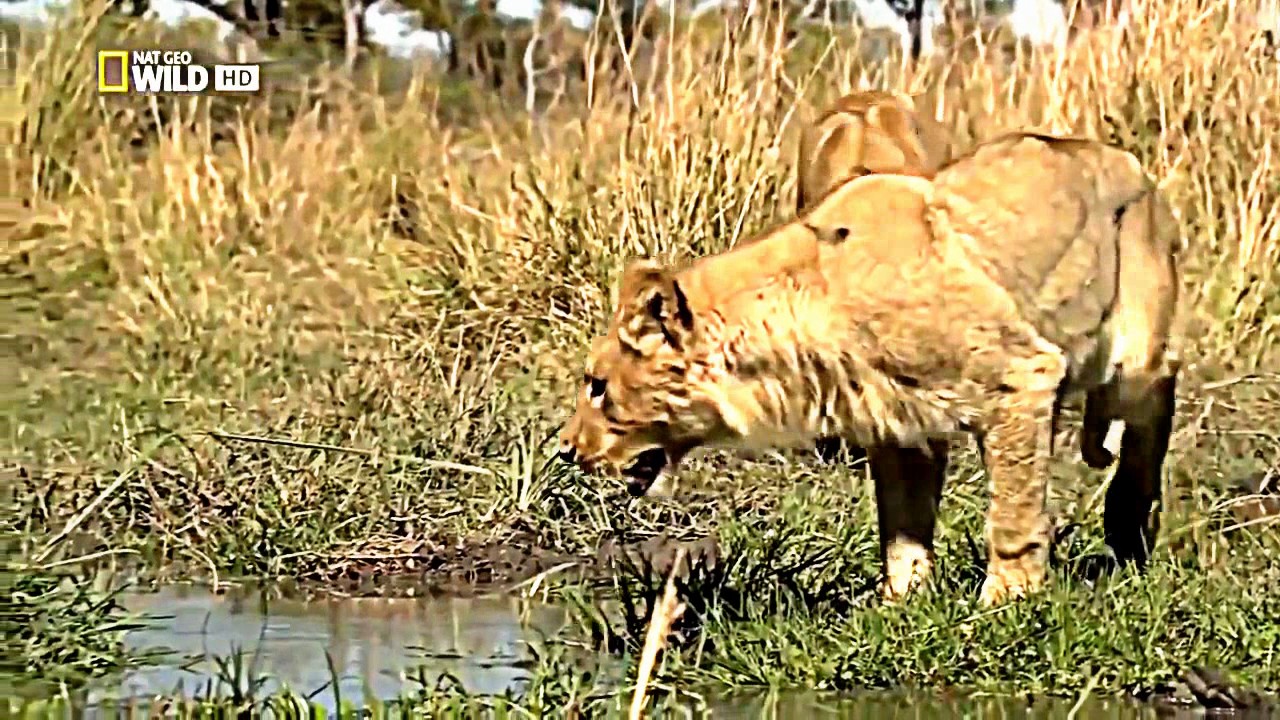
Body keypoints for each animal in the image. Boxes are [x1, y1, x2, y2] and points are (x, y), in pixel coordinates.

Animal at [557, 132, 1182, 606]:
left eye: (598, 387)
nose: (564, 450)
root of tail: (1132, 163)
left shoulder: (1022, 375)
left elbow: (1011, 517)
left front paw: (1006, 603)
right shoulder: (899, 425)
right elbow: (902, 524)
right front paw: (900, 604)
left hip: (1130, 354)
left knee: (1161, 381)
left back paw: (1130, 516)